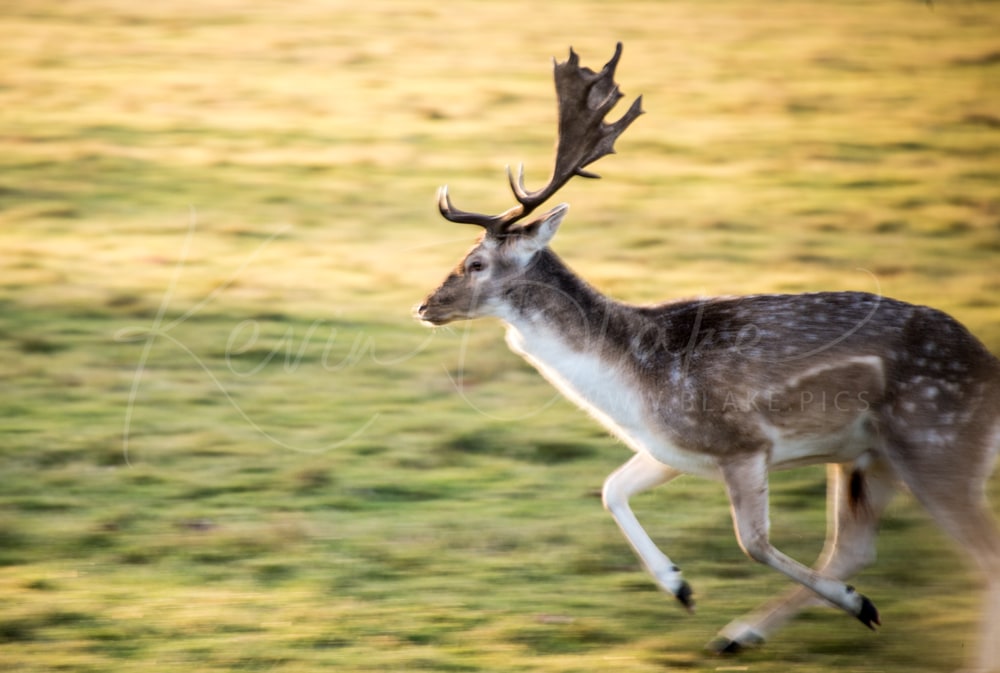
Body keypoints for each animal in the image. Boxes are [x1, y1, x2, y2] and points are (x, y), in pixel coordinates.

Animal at [415, 43, 1000, 672]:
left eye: (475, 263)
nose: (424, 305)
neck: (634, 382)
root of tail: (989, 366)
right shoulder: (672, 448)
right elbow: (611, 489)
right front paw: (680, 587)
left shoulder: (741, 442)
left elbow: (753, 542)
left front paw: (843, 601)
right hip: (868, 457)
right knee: (853, 547)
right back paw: (749, 631)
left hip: (937, 440)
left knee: (978, 555)